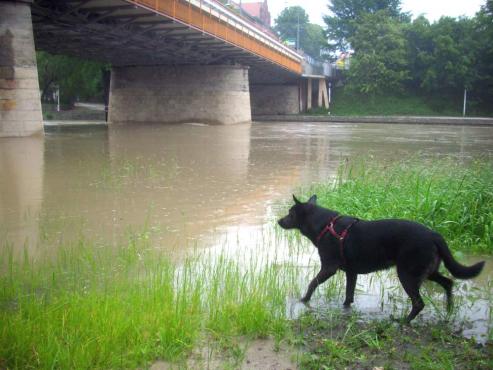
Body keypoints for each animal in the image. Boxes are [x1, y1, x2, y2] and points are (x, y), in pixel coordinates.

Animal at [276, 195, 484, 322]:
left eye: (290, 213)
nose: (278, 221)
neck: (326, 226)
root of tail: (435, 235)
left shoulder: (329, 268)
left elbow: (312, 283)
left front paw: (303, 300)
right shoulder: (351, 273)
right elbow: (349, 296)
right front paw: (345, 309)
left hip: (407, 274)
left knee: (419, 303)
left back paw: (403, 321)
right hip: (427, 270)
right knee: (448, 282)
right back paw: (448, 310)